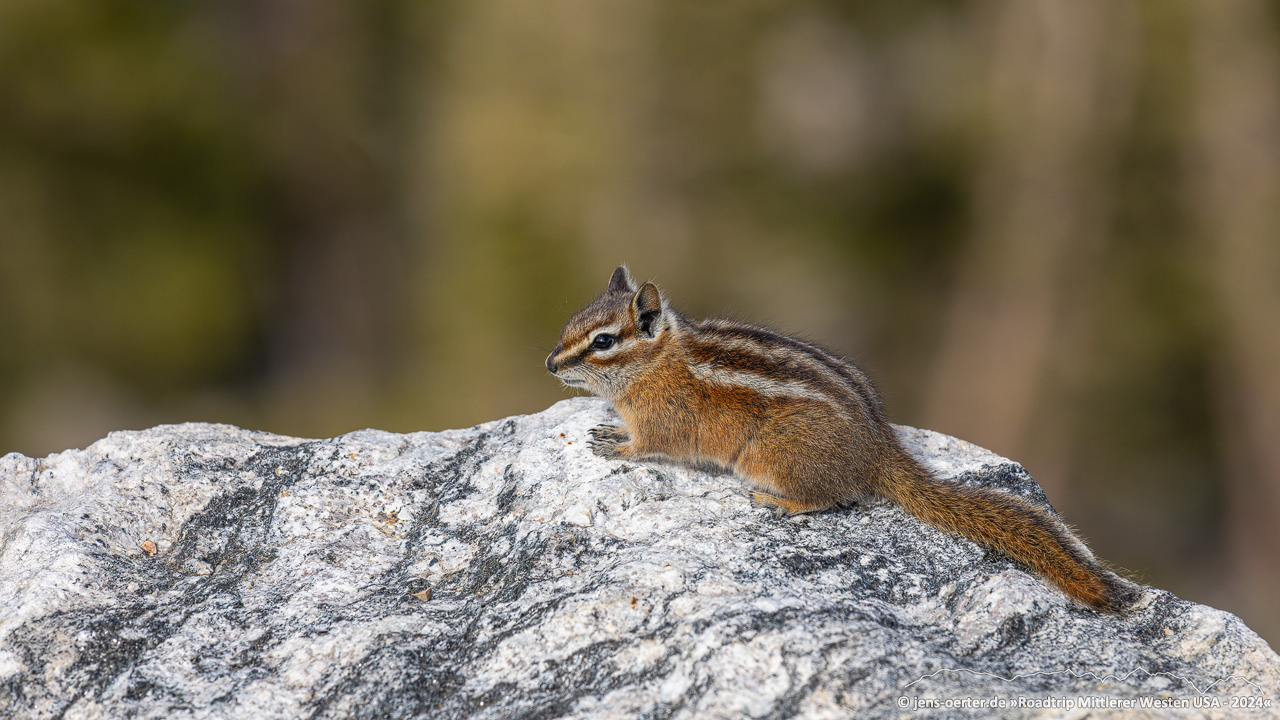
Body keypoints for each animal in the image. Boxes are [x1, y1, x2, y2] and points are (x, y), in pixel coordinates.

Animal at [546, 266, 1137, 612]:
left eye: (602, 341)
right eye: (569, 325)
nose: (550, 364)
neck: (658, 361)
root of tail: (879, 450)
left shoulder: (663, 421)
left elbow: (647, 445)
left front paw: (615, 443)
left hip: (771, 455)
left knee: (827, 498)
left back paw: (779, 503)